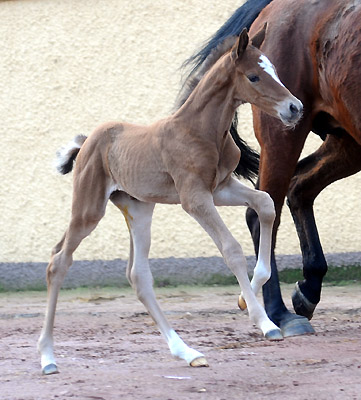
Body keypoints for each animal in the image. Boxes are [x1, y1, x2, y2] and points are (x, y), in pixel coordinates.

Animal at [38, 28, 302, 376]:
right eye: (254, 76)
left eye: (273, 69)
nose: (295, 108)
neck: (201, 131)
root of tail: (86, 143)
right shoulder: (194, 198)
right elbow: (231, 248)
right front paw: (264, 321)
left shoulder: (220, 188)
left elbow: (266, 204)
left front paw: (248, 297)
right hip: (88, 208)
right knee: (59, 261)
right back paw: (47, 357)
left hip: (138, 208)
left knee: (138, 276)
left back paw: (187, 352)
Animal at [180, 0, 361, 338]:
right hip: (283, 131)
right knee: (264, 213)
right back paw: (279, 313)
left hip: (349, 139)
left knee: (299, 186)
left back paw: (307, 290)